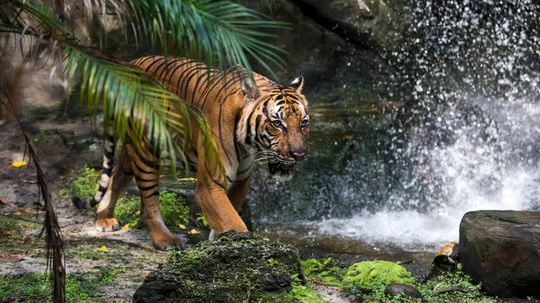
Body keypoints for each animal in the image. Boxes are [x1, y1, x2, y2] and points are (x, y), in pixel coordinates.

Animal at [90, 55, 310, 251]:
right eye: (277, 124)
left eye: (303, 123)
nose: (299, 154)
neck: (246, 143)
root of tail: (130, 63)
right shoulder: (209, 185)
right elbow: (233, 222)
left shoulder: (241, 179)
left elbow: (226, 217)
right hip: (146, 150)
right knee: (148, 202)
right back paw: (165, 239)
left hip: (132, 148)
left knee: (117, 175)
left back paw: (104, 218)